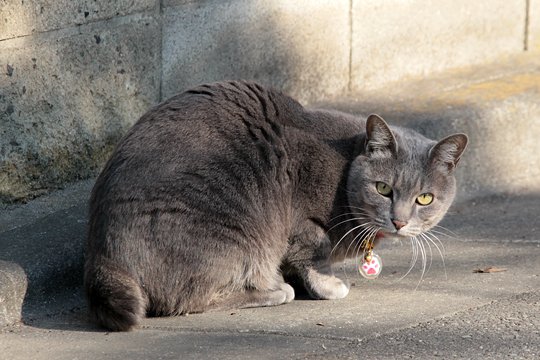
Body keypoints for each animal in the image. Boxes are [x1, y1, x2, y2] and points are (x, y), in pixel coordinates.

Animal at [83, 80, 464, 330]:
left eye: (424, 198)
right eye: (383, 188)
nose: (399, 221)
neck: (344, 170)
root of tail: (102, 254)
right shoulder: (303, 221)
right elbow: (315, 252)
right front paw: (328, 287)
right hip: (234, 233)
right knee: (187, 300)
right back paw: (274, 290)